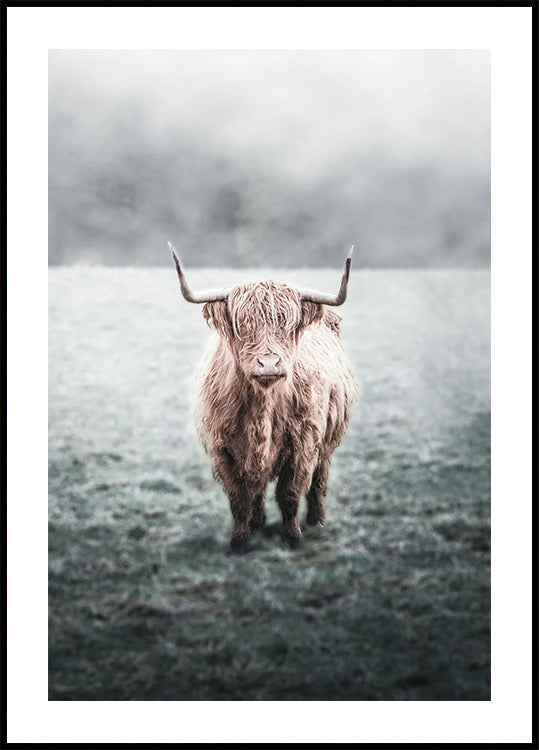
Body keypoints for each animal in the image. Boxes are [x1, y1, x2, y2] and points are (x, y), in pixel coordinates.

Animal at [169, 241, 358, 551]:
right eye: (242, 325)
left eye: (288, 326)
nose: (269, 364)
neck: (263, 406)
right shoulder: (222, 450)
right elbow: (238, 499)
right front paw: (240, 540)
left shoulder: (303, 446)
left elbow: (290, 495)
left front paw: (293, 537)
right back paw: (257, 522)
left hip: (328, 441)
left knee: (319, 481)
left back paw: (317, 520)